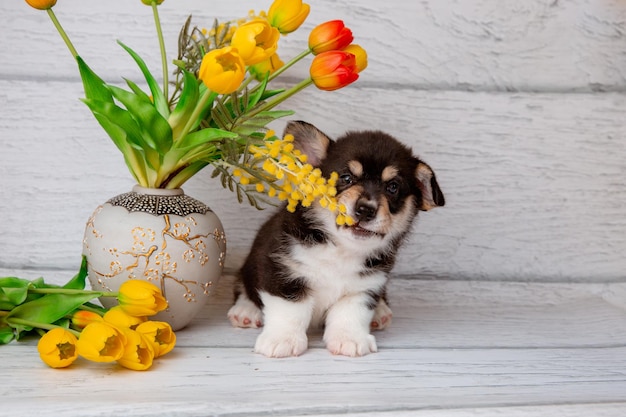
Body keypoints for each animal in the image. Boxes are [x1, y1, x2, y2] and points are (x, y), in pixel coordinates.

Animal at [227, 121, 442, 358]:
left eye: (392, 187)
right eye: (346, 178)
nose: (365, 209)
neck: (340, 249)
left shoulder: (364, 287)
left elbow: (350, 315)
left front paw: (350, 339)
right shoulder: (281, 272)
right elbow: (290, 311)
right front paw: (282, 339)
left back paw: (381, 312)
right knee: (242, 285)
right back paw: (245, 310)